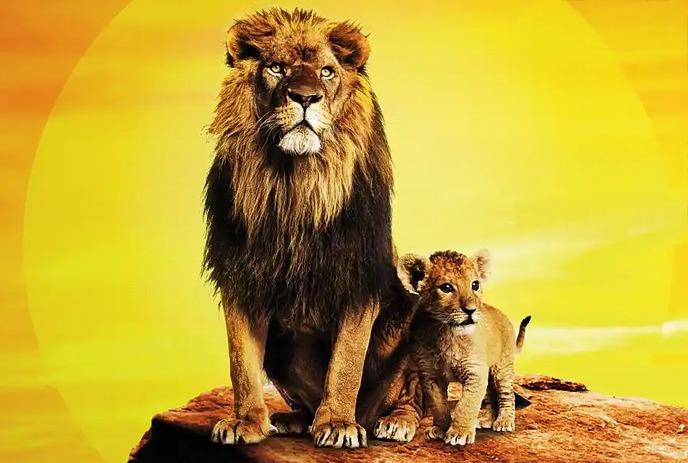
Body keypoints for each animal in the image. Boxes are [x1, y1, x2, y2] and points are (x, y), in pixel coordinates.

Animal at [204, 9, 422, 448]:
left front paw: (337, 424)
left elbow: (347, 362)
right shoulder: (241, 277)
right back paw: (293, 419)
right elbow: (241, 363)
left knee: (411, 396)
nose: (305, 98)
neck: (295, 184)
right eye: (276, 67)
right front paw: (245, 422)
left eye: (326, 72)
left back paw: (394, 421)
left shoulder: (358, 279)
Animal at [397, 250, 530, 446]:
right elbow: (439, 406)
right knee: (491, 395)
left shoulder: (475, 372)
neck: (446, 332)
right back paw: (487, 420)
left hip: (502, 368)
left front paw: (459, 433)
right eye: (446, 288)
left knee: (507, 394)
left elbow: (466, 405)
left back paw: (504, 421)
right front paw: (440, 429)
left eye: (475, 284)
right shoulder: (430, 375)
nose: (471, 310)